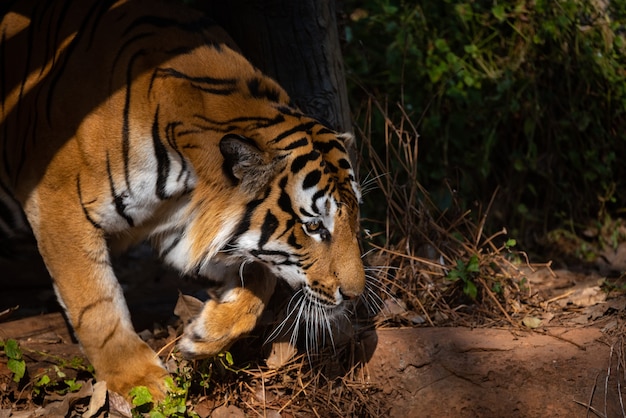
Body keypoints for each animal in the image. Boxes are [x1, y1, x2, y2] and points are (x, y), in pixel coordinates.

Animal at [0, 0, 364, 400]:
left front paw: (203, 337)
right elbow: (95, 303)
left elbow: (261, 275)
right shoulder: (57, 203)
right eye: (313, 226)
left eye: (354, 218)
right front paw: (140, 383)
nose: (355, 295)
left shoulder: (183, 226)